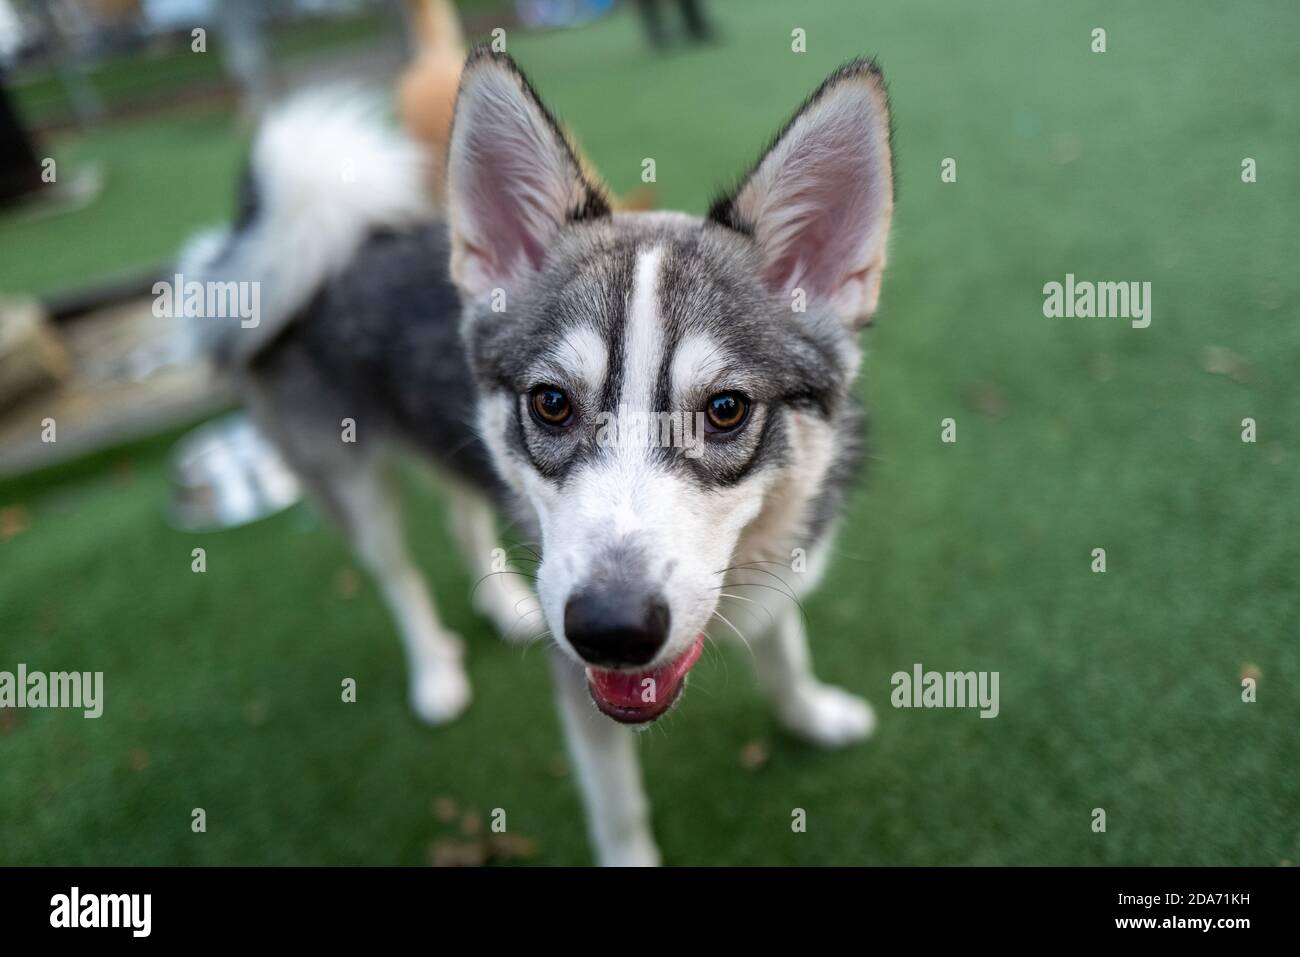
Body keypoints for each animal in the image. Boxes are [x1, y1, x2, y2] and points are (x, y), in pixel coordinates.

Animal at [178, 48, 894, 863]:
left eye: (725, 409)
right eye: (553, 402)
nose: (610, 629)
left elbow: (784, 654)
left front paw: (812, 713)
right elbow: (618, 808)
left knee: (461, 517)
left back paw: (505, 606)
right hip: (349, 481)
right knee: (396, 574)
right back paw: (435, 673)